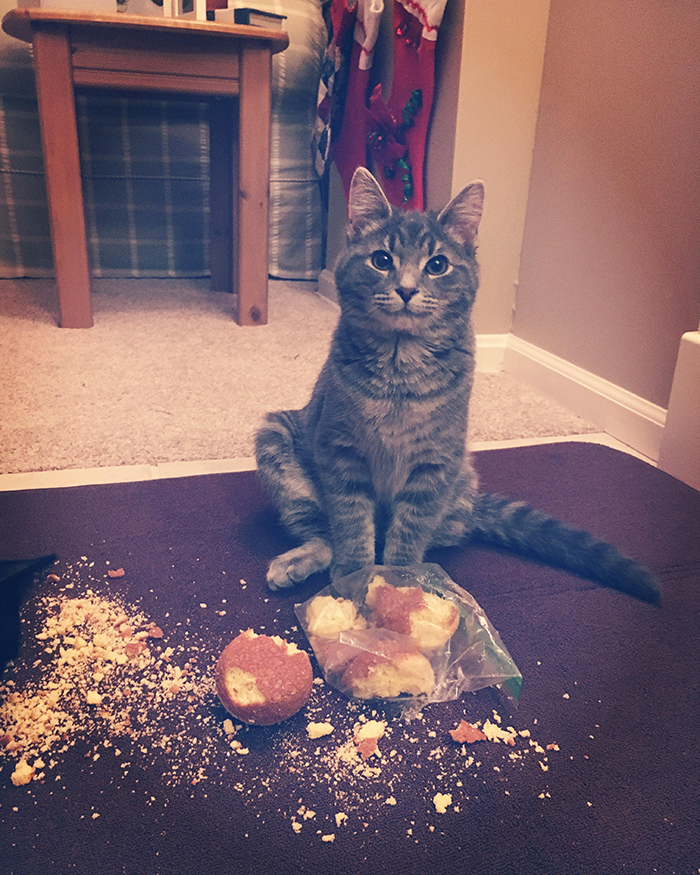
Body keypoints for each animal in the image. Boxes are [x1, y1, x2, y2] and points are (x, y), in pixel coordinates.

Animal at [254, 166, 660, 604]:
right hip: (278, 444)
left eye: (437, 265)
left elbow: (409, 532)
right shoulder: (340, 450)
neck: (400, 365)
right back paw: (294, 563)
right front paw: (355, 577)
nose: (407, 288)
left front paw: (400, 583)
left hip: (457, 482)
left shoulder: (436, 462)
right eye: (381, 260)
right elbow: (350, 523)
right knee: (321, 533)